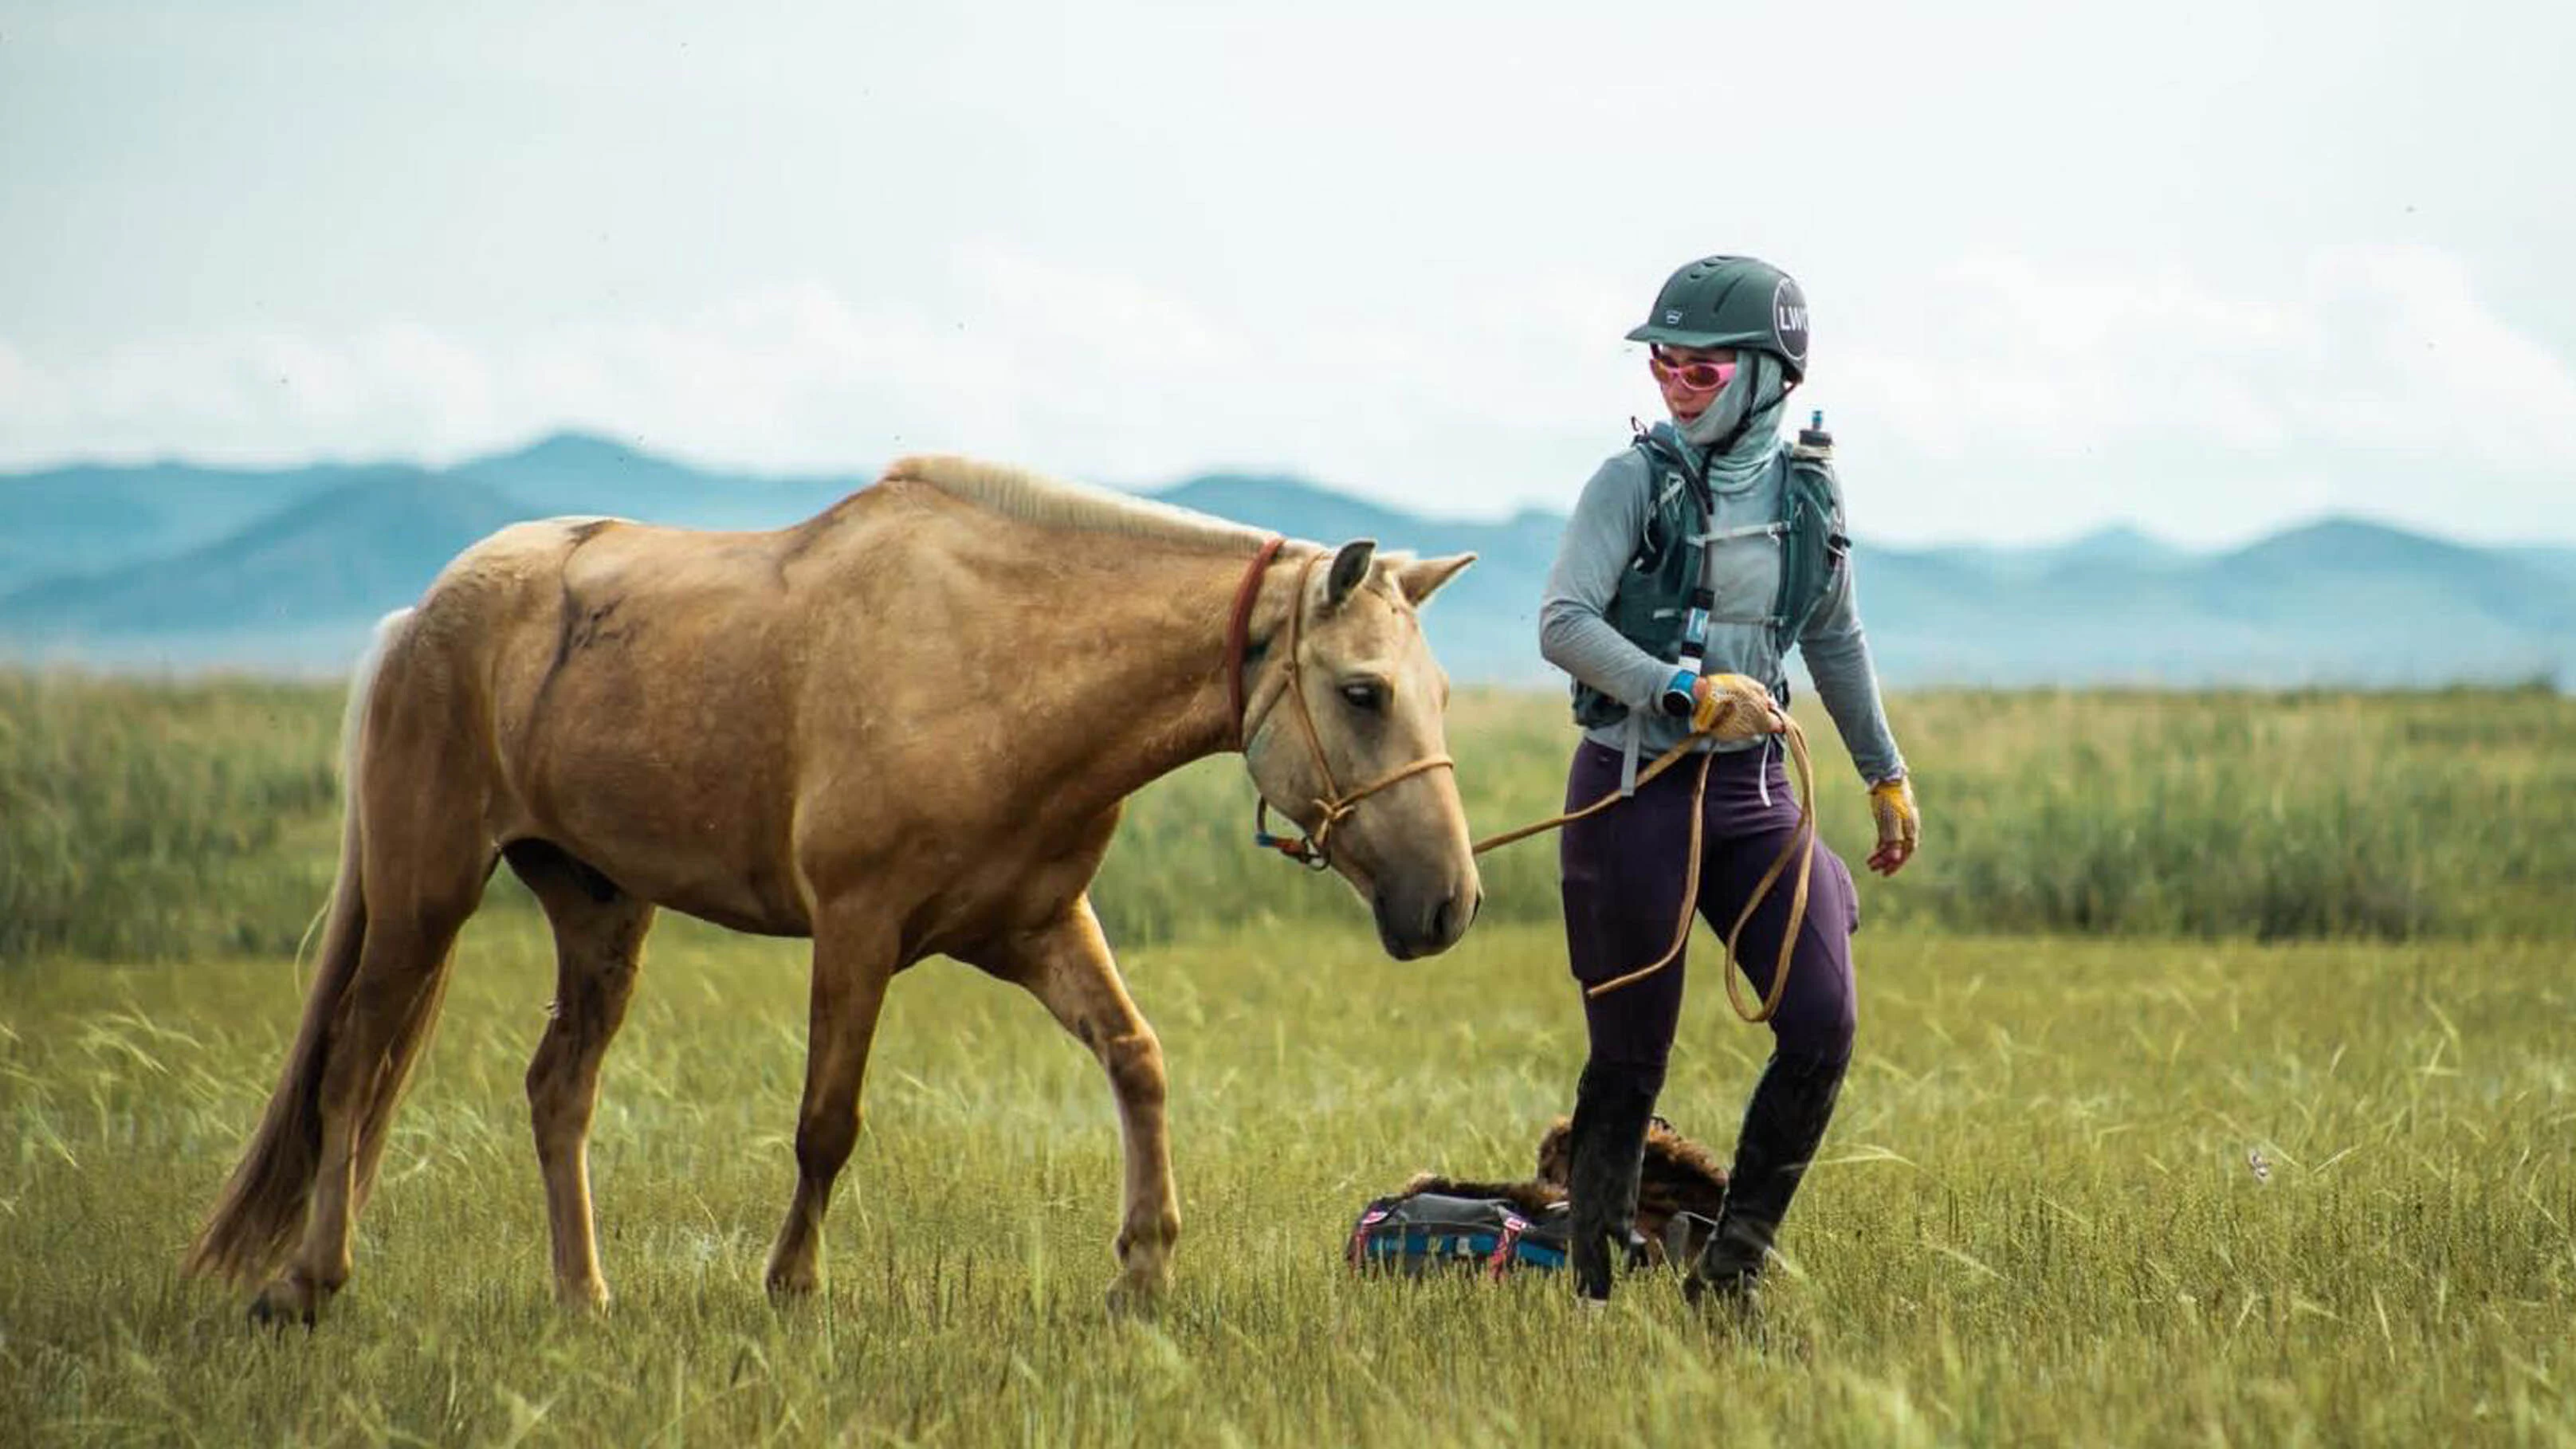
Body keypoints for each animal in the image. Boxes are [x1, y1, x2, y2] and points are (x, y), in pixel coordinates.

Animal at [182, 455, 1483, 1323]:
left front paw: (1144, 1267)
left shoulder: (1035, 928)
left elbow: (1137, 1059)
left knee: (558, 1090)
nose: (1450, 906)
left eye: (1437, 694)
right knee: (354, 1069)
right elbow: (827, 1121)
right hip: (425, 891)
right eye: (1363, 691)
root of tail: (422, 616)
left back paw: (583, 1297)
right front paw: (793, 1286)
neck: (996, 659)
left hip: (598, 907)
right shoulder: (856, 931)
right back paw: (309, 1282)